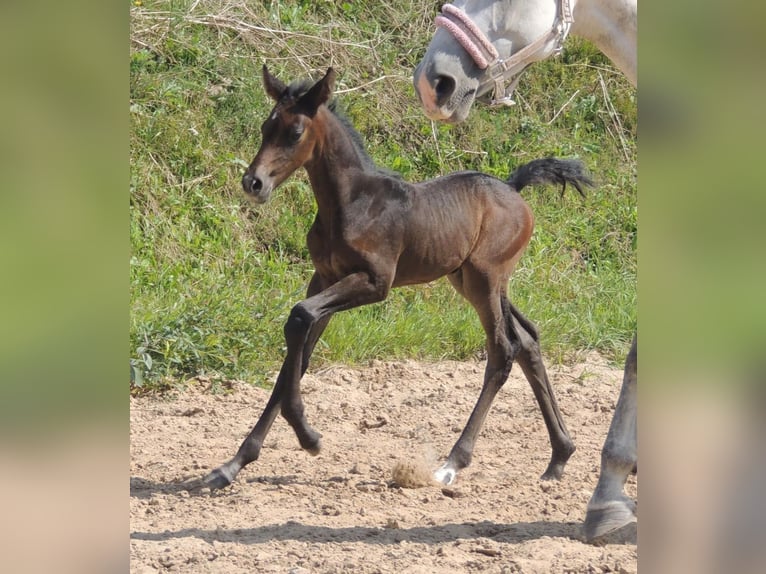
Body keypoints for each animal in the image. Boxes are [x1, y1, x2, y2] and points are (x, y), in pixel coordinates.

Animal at [201, 66, 592, 490]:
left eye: (295, 132)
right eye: (265, 127)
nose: (253, 183)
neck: (351, 203)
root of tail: (511, 186)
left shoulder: (375, 282)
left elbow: (300, 316)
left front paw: (308, 437)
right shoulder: (323, 278)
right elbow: (298, 353)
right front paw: (234, 463)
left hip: (485, 279)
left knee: (504, 349)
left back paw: (453, 461)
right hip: (472, 280)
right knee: (528, 339)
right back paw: (559, 457)